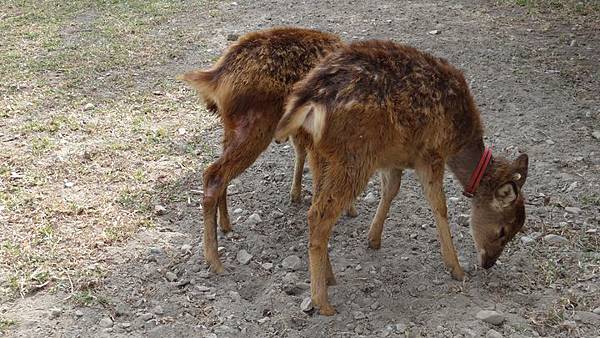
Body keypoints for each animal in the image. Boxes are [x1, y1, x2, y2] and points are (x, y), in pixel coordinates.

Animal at [178, 27, 356, 274]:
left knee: (219, 174)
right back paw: (215, 260)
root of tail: (214, 77)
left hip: (231, 128)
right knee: (214, 174)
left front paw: (298, 196)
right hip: (256, 128)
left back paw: (226, 225)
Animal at [274, 40, 528, 316]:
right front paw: (457, 269)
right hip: (355, 155)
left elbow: (391, 190)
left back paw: (329, 277)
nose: (488, 262)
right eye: (503, 231)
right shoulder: (430, 154)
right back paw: (322, 302)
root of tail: (307, 100)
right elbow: (439, 206)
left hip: (321, 154)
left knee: (316, 209)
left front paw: (373, 239)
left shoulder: (392, 158)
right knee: (319, 215)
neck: (459, 143)